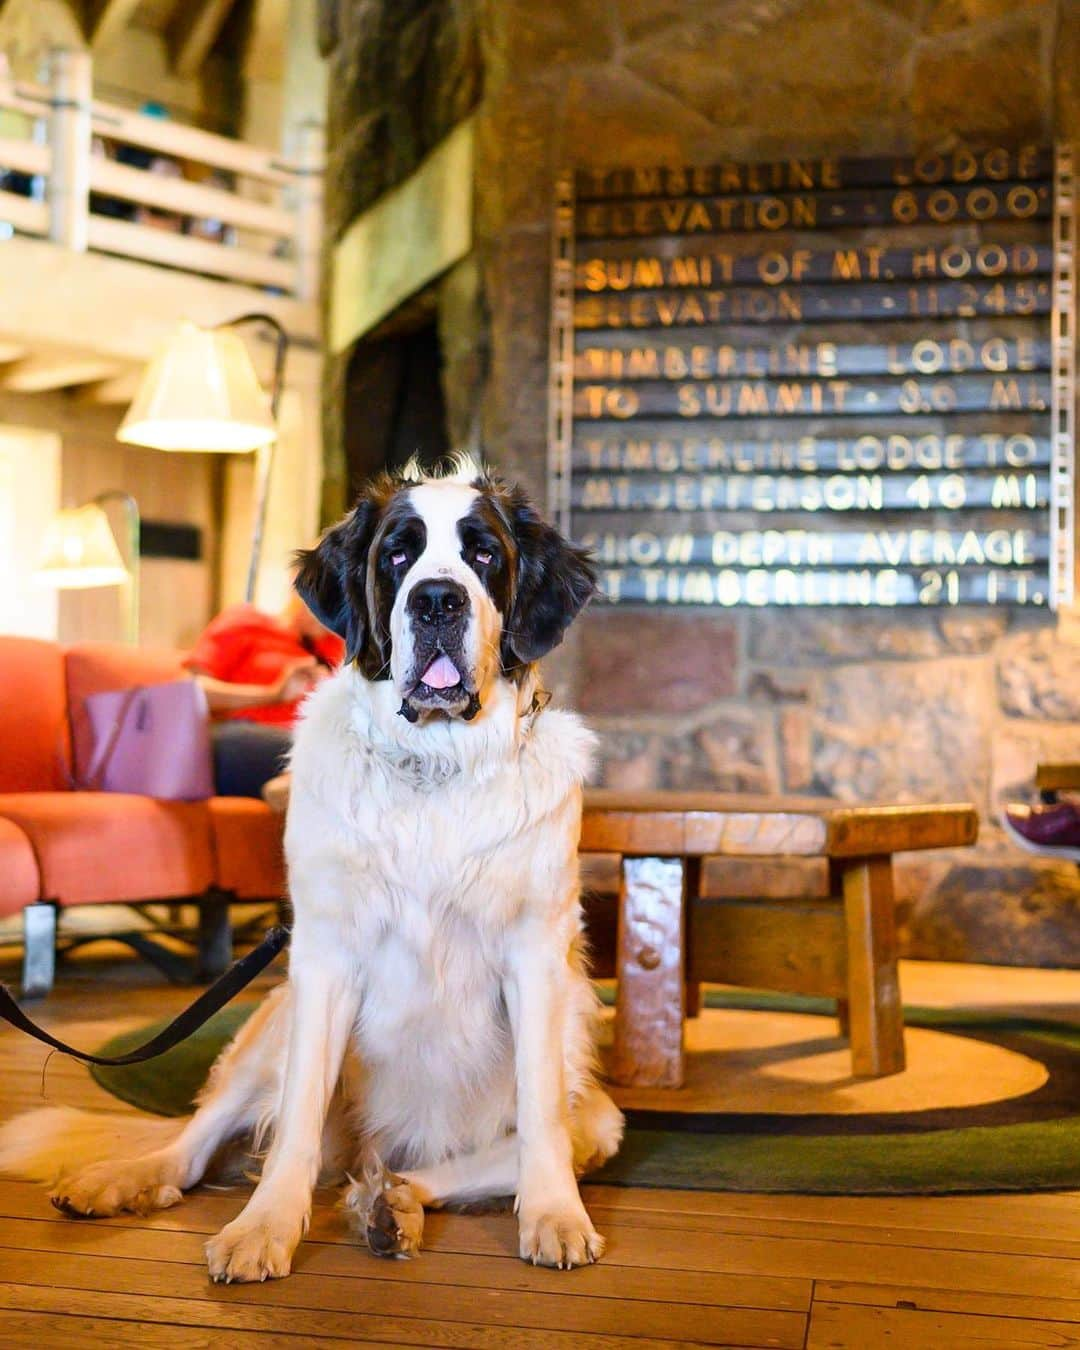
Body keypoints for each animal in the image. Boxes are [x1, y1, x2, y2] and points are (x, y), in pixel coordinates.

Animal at [0, 453, 623, 1274]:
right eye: (397, 555)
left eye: (485, 555)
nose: (437, 601)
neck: (434, 768)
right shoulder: (323, 955)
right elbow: (294, 1118)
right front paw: (266, 1226)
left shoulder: (538, 956)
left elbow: (541, 1116)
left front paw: (553, 1213)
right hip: (271, 1023)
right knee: (197, 1146)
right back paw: (124, 1179)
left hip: (598, 1118)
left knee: (439, 1166)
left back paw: (389, 1204)